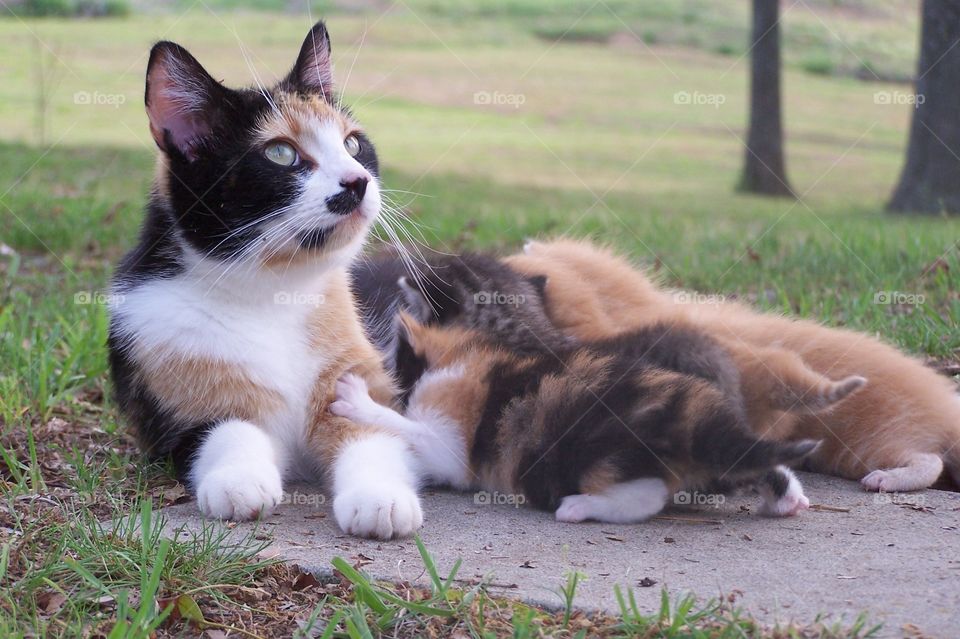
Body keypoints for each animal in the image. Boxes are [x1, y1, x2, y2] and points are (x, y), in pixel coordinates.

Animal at [107, 22, 422, 540]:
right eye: (280, 153)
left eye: (353, 144)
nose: (357, 180)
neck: (274, 292)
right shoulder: (166, 393)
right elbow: (225, 428)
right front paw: (239, 480)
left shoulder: (357, 370)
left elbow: (375, 429)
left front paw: (381, 498)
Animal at [336, 256, 824, 524]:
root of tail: (692, 420)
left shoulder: (451, 445)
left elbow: (415, 431)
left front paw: (358, 400)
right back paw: (788, 497)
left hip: (590, 450)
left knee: (647, 496)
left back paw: (578, 507)